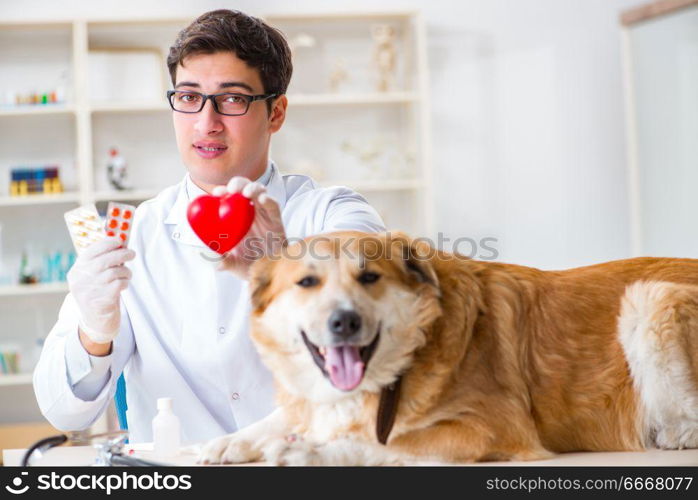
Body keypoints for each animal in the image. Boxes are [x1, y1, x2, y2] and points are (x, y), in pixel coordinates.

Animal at [196, 230, 696, 464]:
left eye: (369, 277)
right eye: (306, 283)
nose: (344, 322)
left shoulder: (490, 429)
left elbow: (387, 443)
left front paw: (311, 452)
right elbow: (285, 415)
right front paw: (230, 442)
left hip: (650, 298)